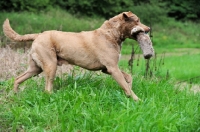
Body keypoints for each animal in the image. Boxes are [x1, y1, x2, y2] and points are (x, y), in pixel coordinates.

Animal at [3, 11, 151, 100]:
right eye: (137, 21)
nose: (149, 29)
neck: (111, 34)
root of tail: (38, 35)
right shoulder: (112, 68)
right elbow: (125, 84)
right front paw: (136, 99)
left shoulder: (107, 69)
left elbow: (128, 78)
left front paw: (130, 91)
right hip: (50, 65)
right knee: (47, 87)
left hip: (35, 68)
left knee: (17, 79)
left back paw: (15, 95)